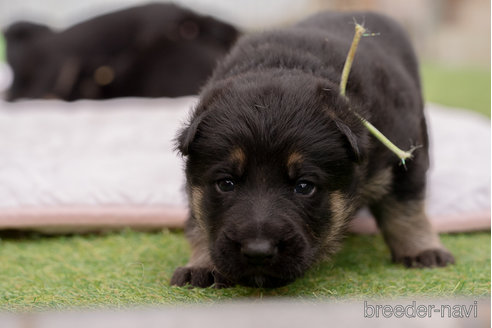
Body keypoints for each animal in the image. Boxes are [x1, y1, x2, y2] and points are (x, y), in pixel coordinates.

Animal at [171, 10, 456, 288]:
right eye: (226, 183)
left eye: (304, 186)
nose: (258, 251)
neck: (283, 62)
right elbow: (197, 221)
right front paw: (202, 265)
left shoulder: (403, 154)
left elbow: (405, 206)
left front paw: (422, 250)